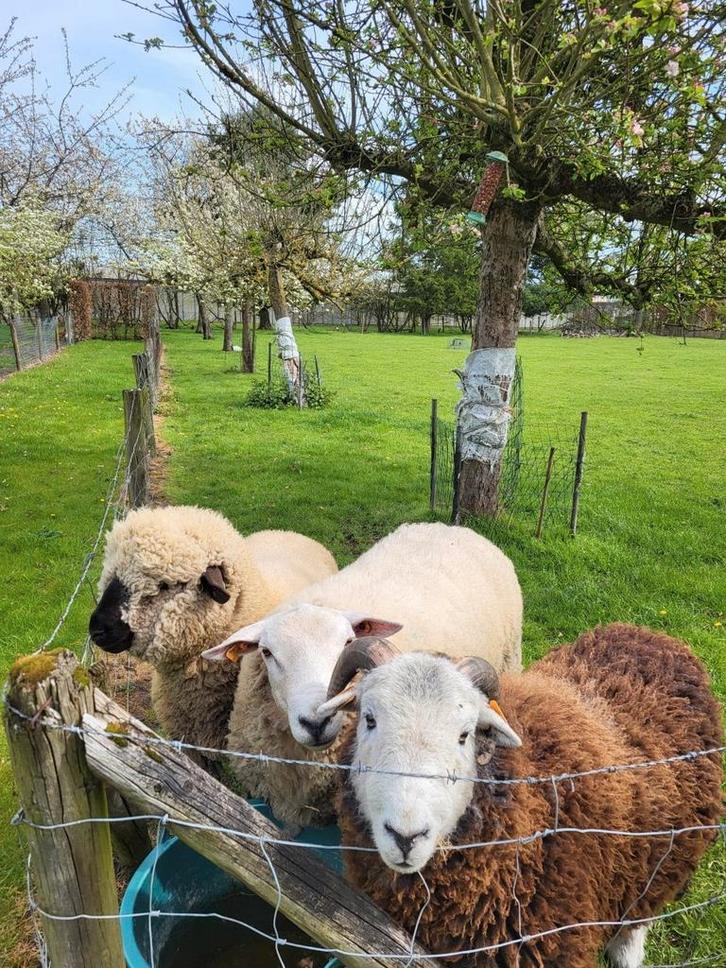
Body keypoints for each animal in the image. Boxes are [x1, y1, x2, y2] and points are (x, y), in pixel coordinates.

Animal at [328, 624, 723, 968]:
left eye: (465, 735)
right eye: (369, 719)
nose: (406, 837)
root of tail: (653, 636)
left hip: (670, 848)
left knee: (643, 907)